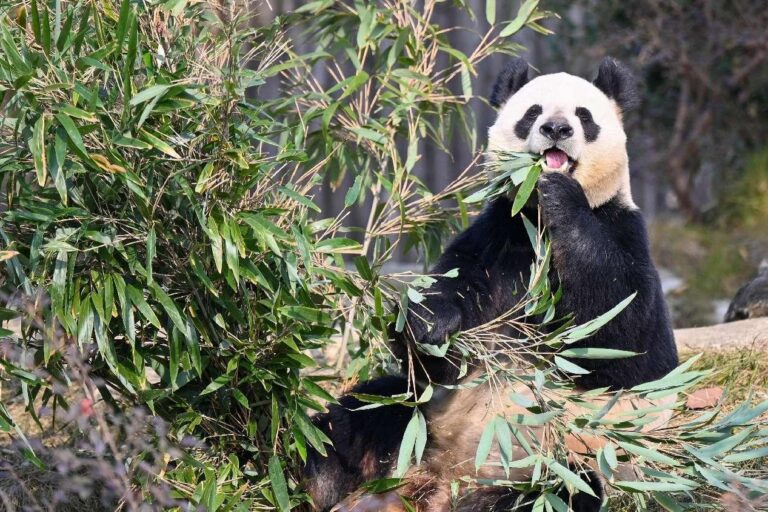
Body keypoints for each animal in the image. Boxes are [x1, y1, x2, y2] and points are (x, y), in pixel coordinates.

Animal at [303, 57, 679, 512]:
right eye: (532, 113)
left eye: (584, 116)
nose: (557, 129)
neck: (537, 223)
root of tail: (441, 480)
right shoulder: (497, 237)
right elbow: (442, 331)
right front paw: (429, 325)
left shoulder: (622, 228)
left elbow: (626, 337)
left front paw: (561, 195)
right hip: (419, 421)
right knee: (357, 418)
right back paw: (318, 479)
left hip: (559, 463)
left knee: (567, 491)